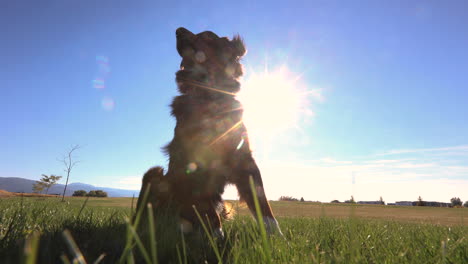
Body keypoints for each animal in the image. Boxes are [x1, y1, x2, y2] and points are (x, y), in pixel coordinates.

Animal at [135, 27, 282, 238]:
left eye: (206, 36)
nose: (178, 30)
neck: (209, 98)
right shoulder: (194, 163)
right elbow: (208, 209)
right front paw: (215, 236)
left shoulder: (244, 158)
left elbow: (262, 201)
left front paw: (276, 236)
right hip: (154, 174)